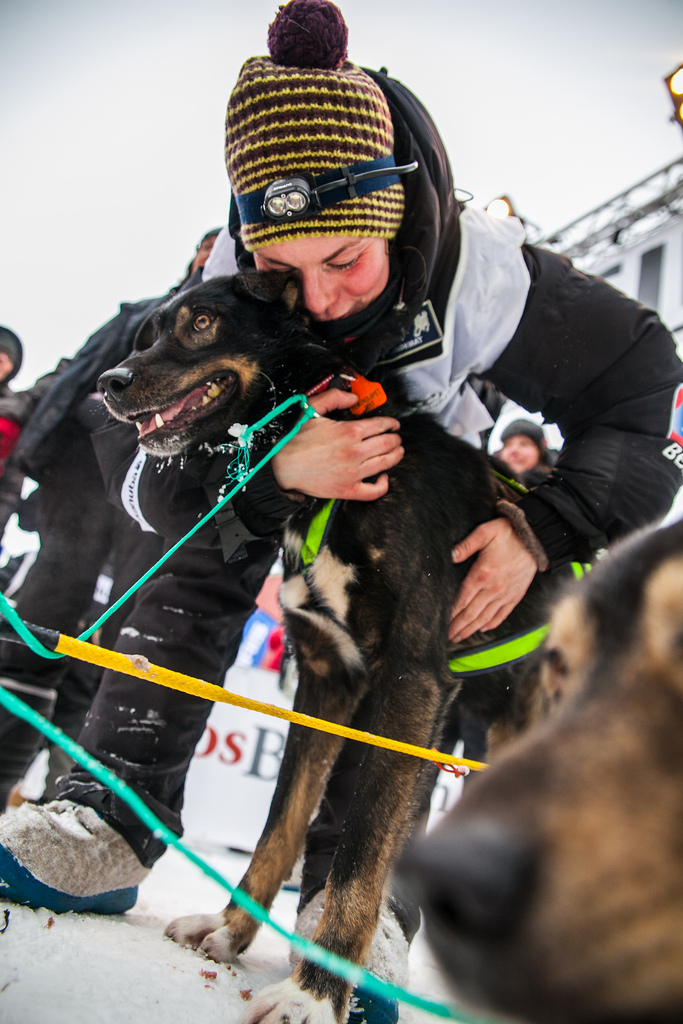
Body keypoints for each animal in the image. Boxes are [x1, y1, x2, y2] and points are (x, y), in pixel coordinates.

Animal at [97, 272, 565, 1024]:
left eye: (200, 322)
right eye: (148, 333)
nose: (108, 382)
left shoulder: (409, 684)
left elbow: (360, 852)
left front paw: (314, 995)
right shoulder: (324, 678)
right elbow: (280, 824)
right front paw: (231, 930)